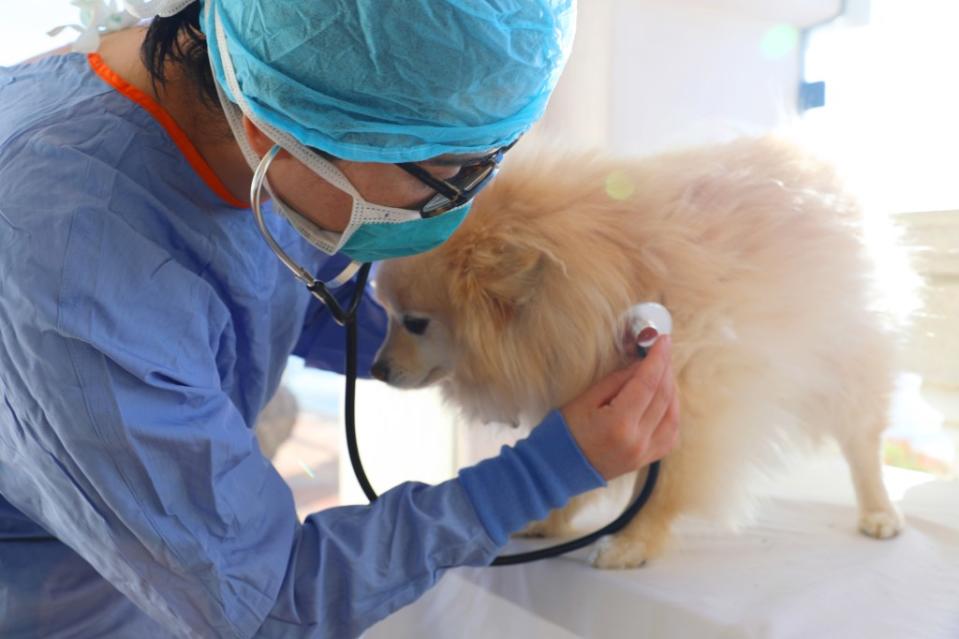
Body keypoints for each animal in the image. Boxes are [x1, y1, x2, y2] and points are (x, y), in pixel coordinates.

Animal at [372, 138, 912, 568]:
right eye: (386, 313)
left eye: (415, 323)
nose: (375, 368)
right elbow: (576, 466)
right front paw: (549, 517)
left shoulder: (687, 397)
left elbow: (657, 488)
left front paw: (631, 541)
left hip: (847, 361)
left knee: (862, 444)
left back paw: (879, 512)